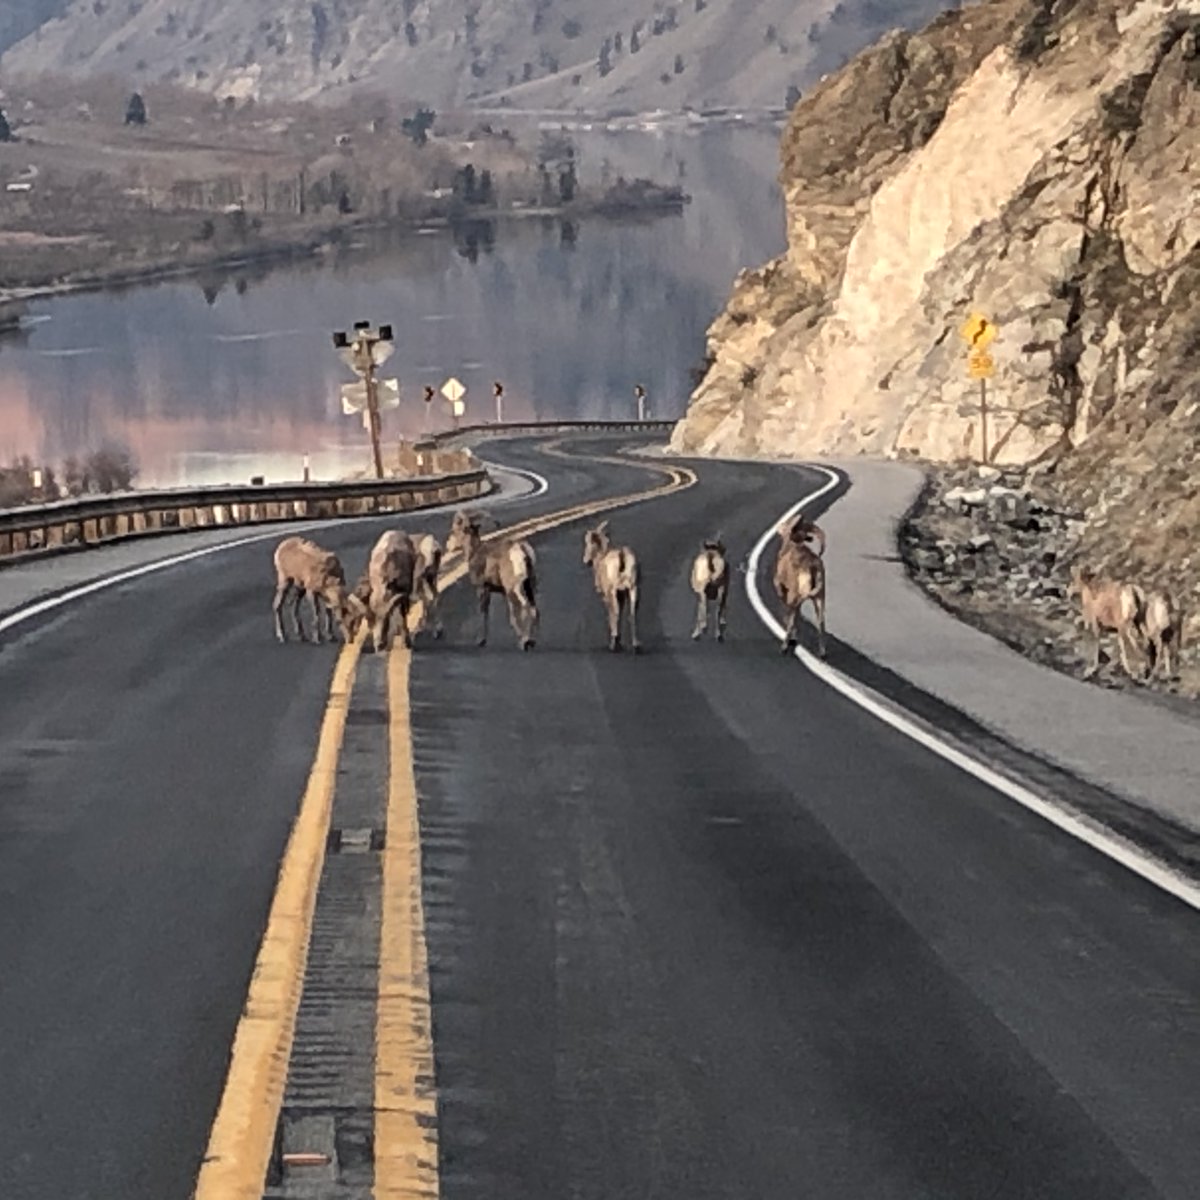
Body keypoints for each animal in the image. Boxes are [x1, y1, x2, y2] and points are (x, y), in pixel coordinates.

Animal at [445, 509, 539, 650]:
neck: (475, 552)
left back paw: (526, 641)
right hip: (529, 584)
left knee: (525, 605)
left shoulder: (482, 589)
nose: (448, 546)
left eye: (455, 530)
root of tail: (521, 550)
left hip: (515, 589)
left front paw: (481, 641)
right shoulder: (503, 592)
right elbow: (511, 616)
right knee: (534, 608)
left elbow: (484, 613)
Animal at [582, 519, 641, 652]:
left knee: (616, 612)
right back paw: (635, 645)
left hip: (613, 591)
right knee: (632, 614)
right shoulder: (622, 594)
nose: (586, 561)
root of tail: (621, 555)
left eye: (589, 542)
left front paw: (615, 641)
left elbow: (611, 614)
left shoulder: (608, 595)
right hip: (633, 588)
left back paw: (614, 644)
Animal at [774, 513, 826, 656]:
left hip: (796, 597)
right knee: (820, 622)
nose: (779, 526)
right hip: (819, 598)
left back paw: (784, 646)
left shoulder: (783, 589)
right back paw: (822, 652)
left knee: (792, 619)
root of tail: (812, 567)